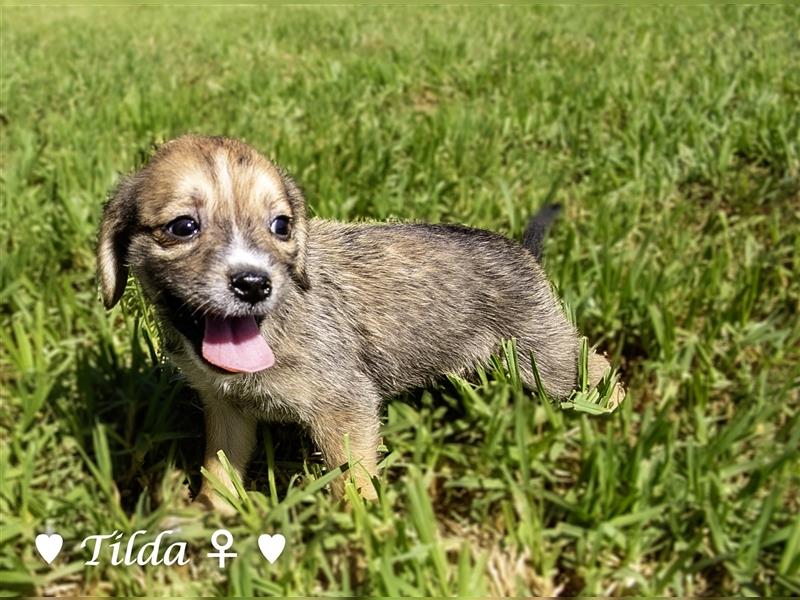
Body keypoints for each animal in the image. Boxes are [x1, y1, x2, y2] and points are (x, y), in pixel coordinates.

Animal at [98, 136, 624, 516]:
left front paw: (362, 532)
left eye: (281, 226)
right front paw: (211, 514)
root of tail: (522, 251)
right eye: (183, 227)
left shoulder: (344, 405)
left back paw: (613, 419)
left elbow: (352, 478)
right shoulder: (227, 410)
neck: (272, 326)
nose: (254, 284)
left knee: (596, 368)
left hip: (545, 356)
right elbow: (219, 469)